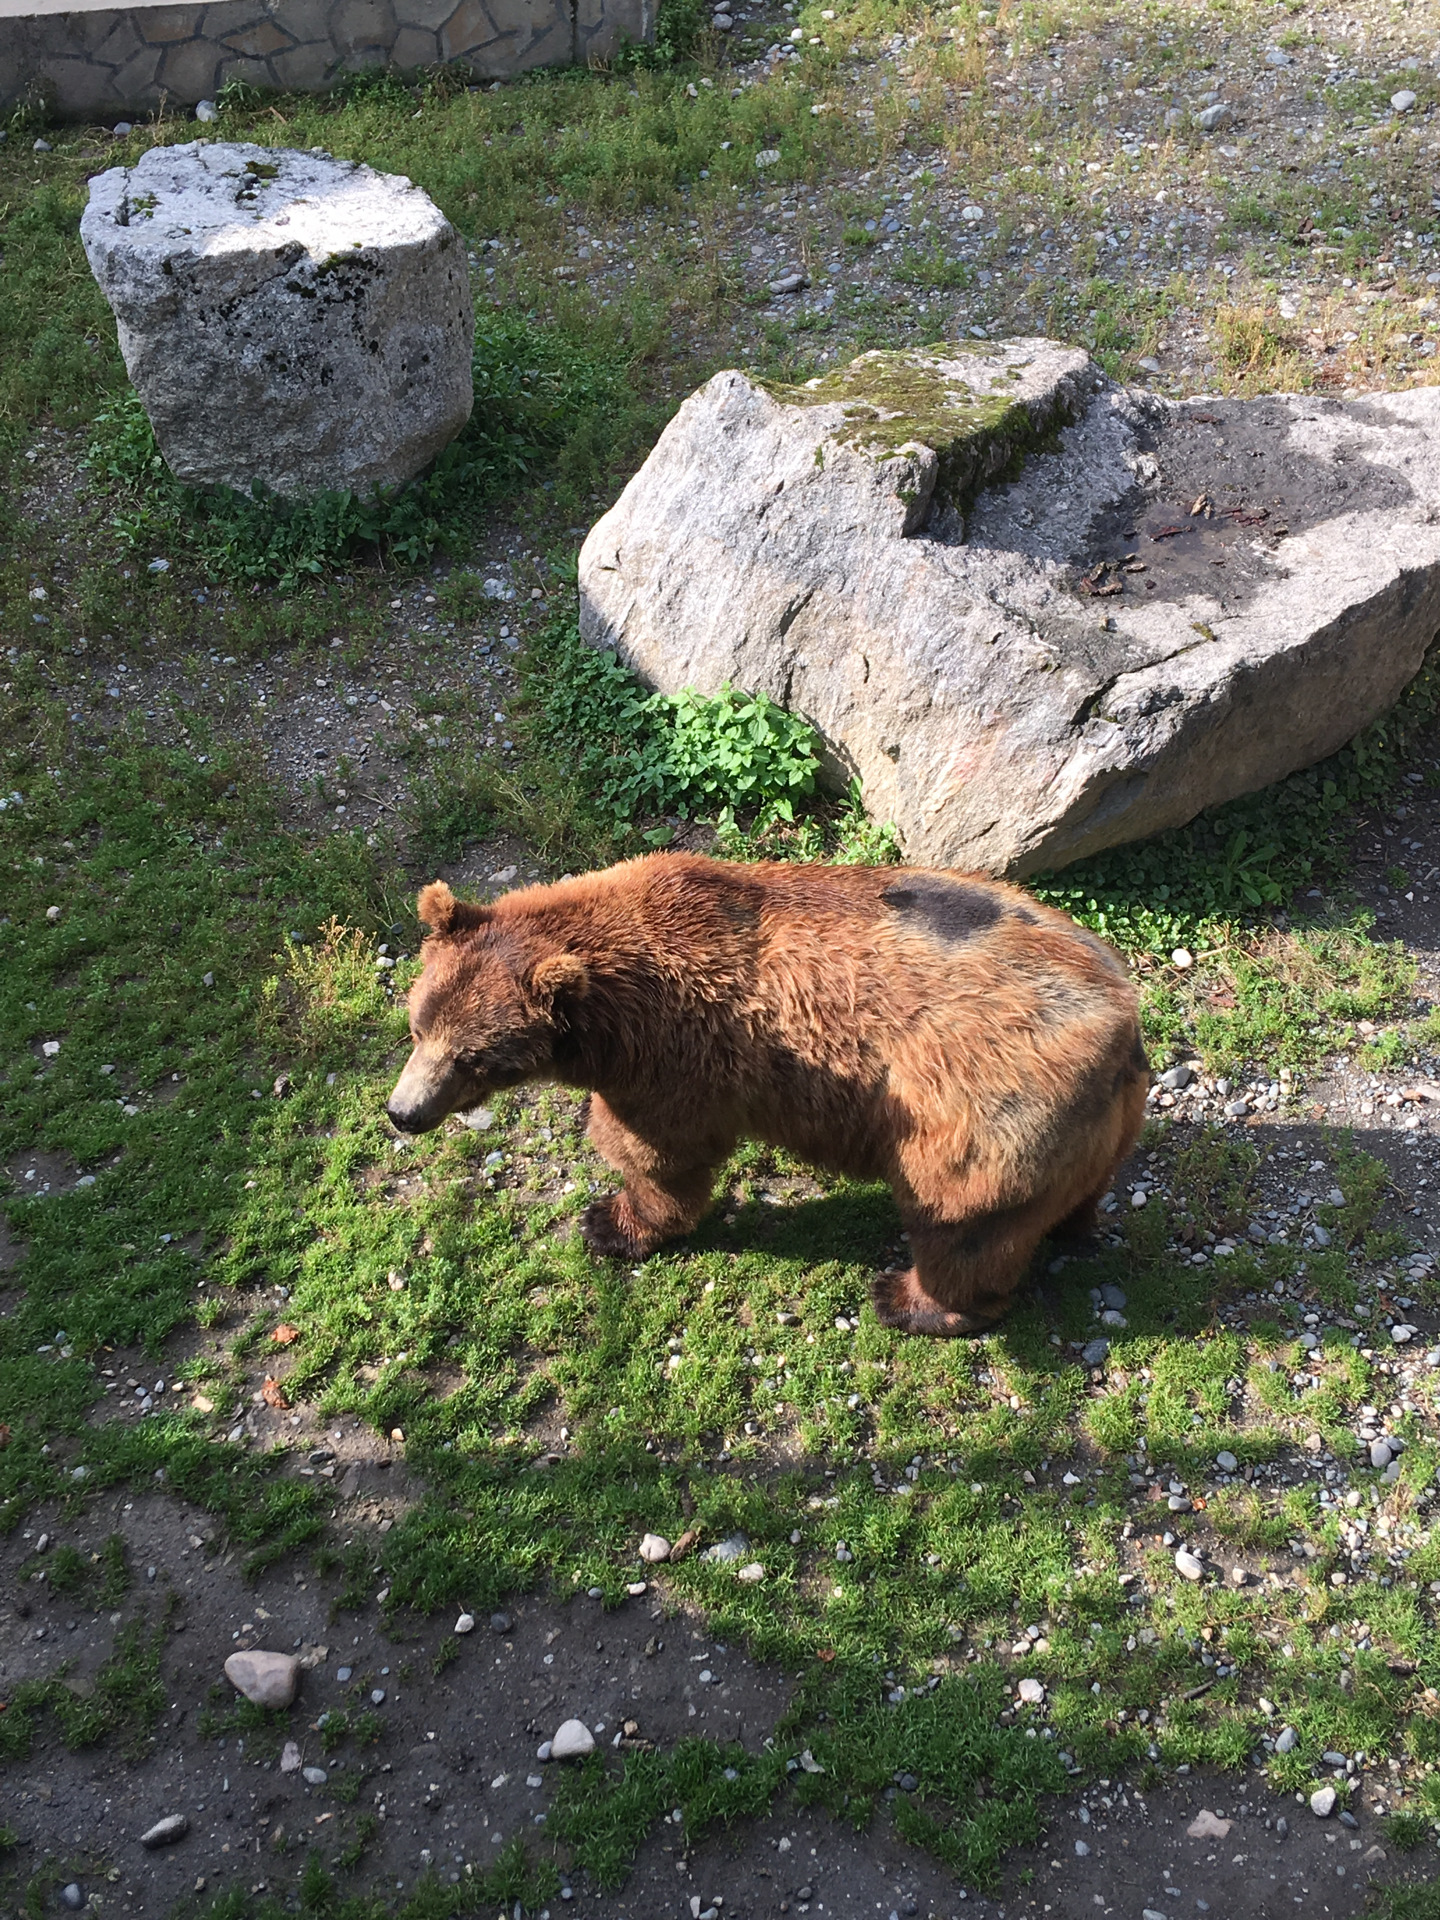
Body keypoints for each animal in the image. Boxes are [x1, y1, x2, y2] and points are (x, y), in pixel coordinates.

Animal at [385, 856, 1152, 1336]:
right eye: (417, 1024)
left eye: (472, 1058)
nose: (404, 1113)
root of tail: (1122, 1017)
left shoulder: (673, 1058)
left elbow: (662, 1154)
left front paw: (612, 1222)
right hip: (1098, 1124)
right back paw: (1073, 1224)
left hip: (980, 1108)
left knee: (961, 1219)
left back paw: (908, 1300)